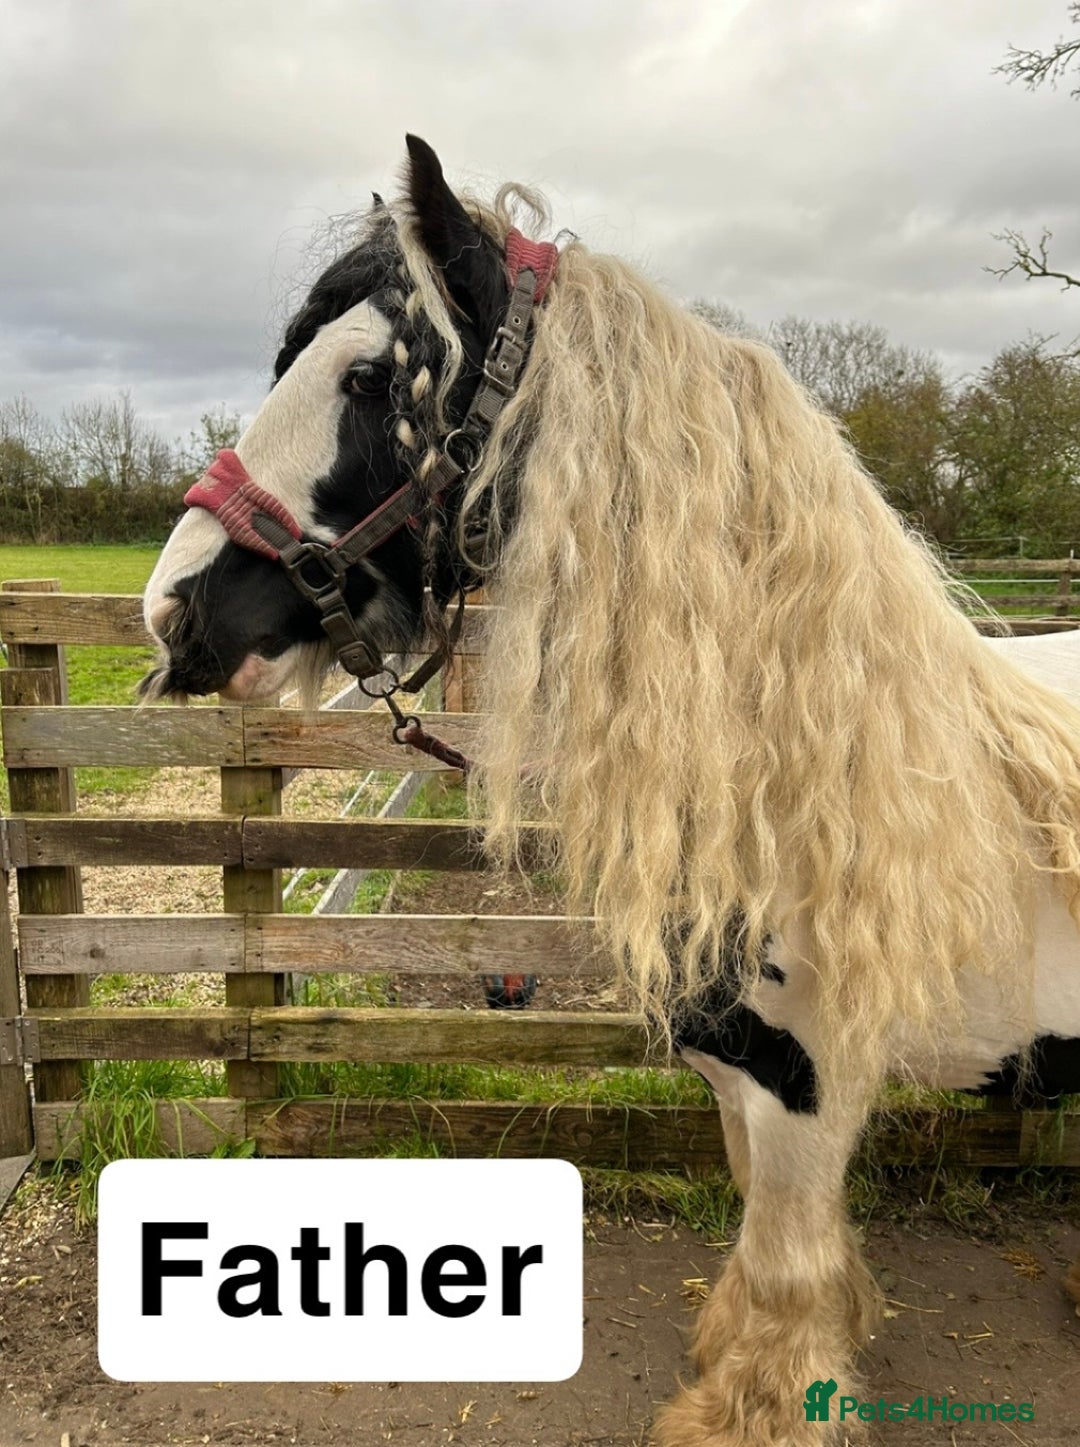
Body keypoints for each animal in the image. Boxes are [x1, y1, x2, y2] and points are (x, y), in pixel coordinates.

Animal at [142, 136, 1080, 1445]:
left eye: (370, 377)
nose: (172, 615)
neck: (807, 780)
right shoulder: (741, 1077)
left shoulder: (813, 1084)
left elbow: (787, 1269)